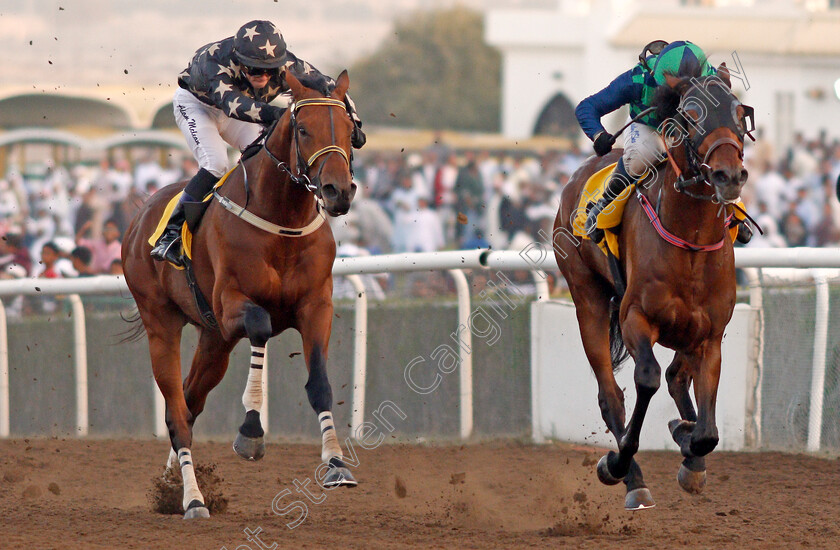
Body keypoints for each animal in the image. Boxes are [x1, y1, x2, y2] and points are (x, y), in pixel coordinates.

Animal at [121, 71, 358, 520]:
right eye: (303, 129)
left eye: (349, 129)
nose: (338, 191)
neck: (281, 220)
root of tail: (138, 218)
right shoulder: (231, 304)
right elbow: (261, 325)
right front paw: (250, 431)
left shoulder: (316, 306)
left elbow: (320, 383)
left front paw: (337, 464)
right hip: (162, 323)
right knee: (177, 412)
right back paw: (193, 500)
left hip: (215, 342)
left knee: (189, 403)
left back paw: (171, 485)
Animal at [556, 67, 752, 512]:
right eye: (691, 113)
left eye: (739, 112)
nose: (729, 176)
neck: (691, 242)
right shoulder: (635, 317)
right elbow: (647, 378)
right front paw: (617, 462)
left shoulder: (711, 333)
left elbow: (707, 431)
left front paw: (689, 446)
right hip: (587, 299)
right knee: (611, 395)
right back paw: (633, 479)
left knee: (678, 377)